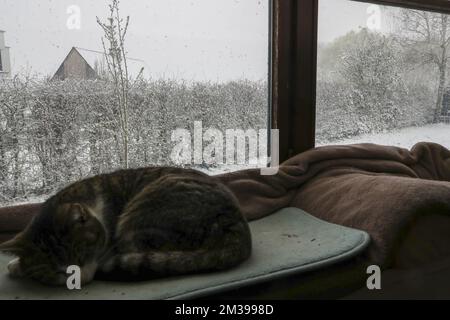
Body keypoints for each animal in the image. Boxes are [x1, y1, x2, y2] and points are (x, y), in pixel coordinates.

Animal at [0, 168, 253, 284]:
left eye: (82, 256)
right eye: (56, 272)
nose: (81, 280)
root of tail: (237, 226)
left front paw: (16, 266)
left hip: (142, 213)